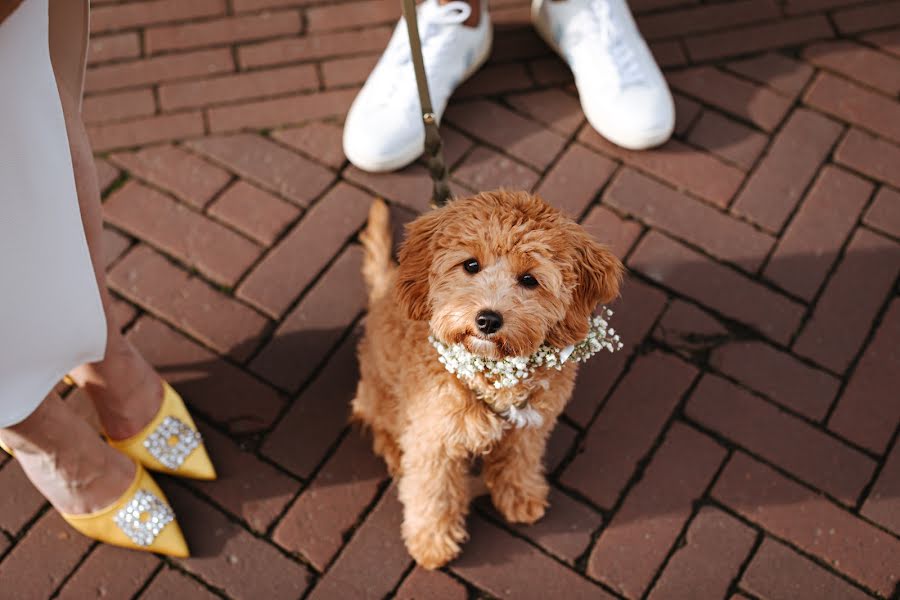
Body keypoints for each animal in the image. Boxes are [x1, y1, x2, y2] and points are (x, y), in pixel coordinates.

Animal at [356, 190, 624, 568]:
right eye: (470, 265)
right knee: (376, 420)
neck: (492, 373)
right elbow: (433, 493)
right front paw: (433, 542)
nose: (487, 320)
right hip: (381, 393)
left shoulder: (531, 423)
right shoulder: (434, 439)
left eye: (529, 279)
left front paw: (520, 494)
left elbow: (519, 457)